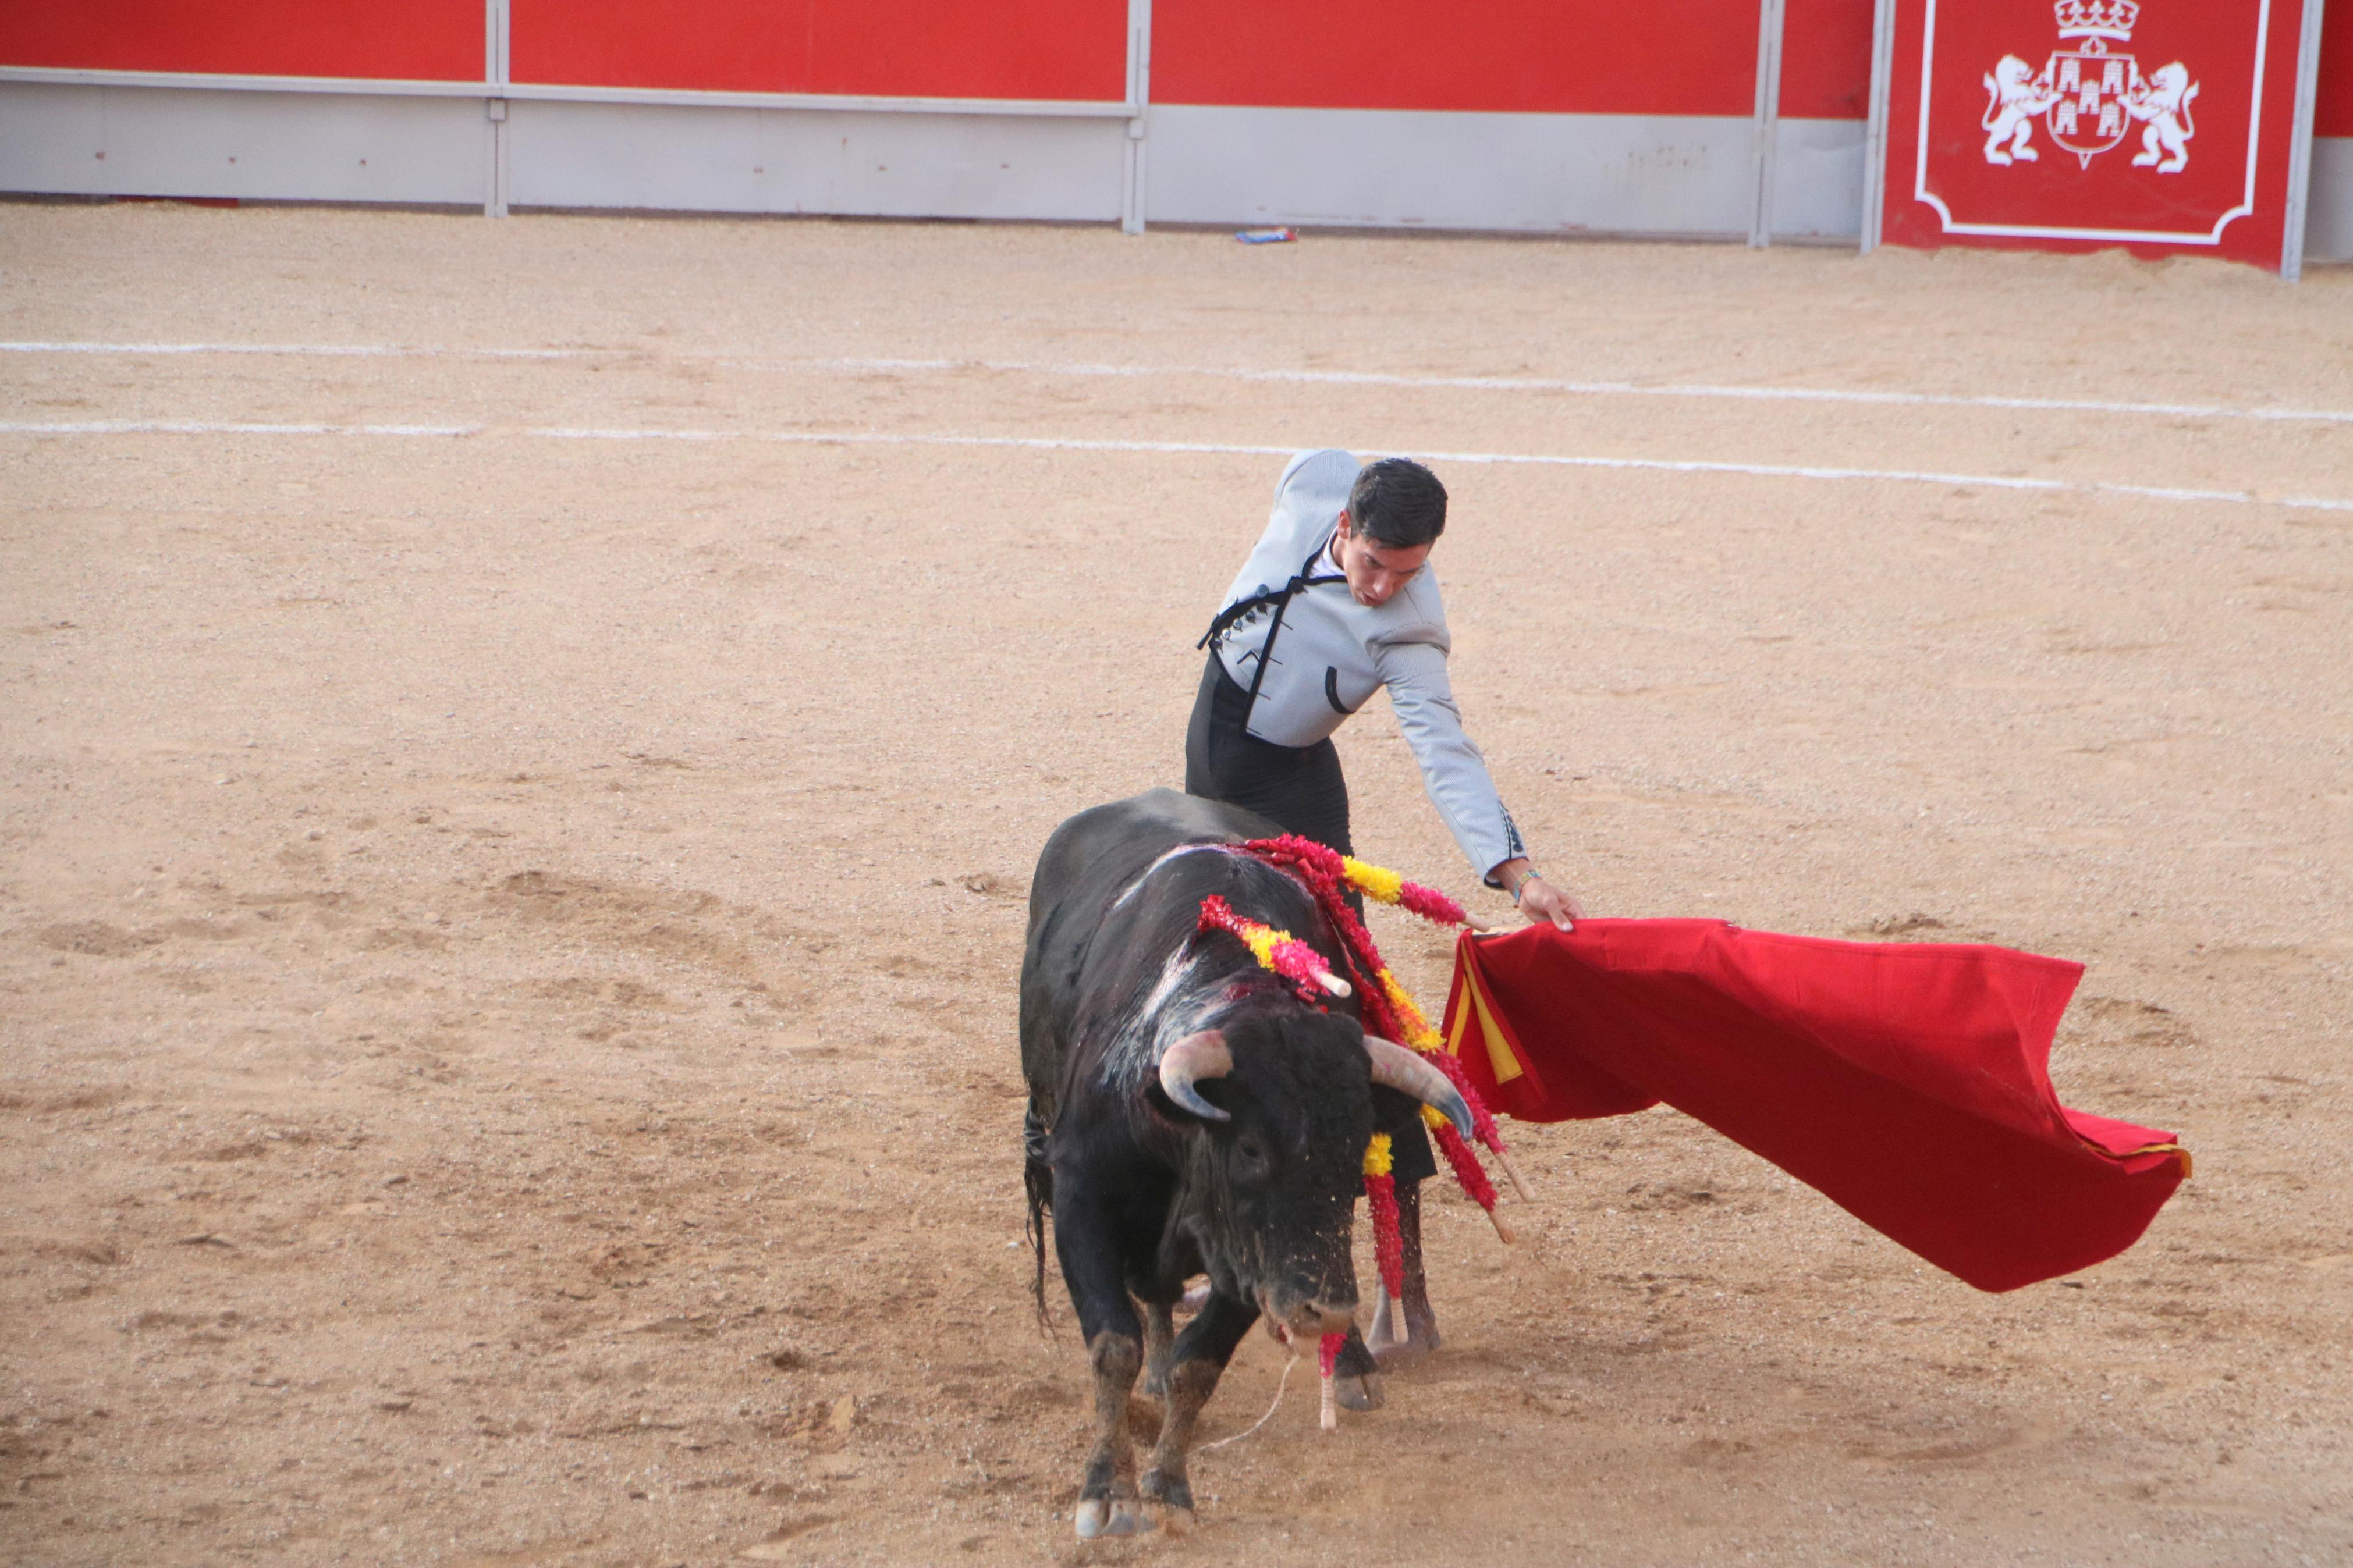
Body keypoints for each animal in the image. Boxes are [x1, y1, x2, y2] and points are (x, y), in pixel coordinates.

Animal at [1016, 790, 1458, 1542]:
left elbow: (1201, 1362)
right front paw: (1108, 1490)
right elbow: (1113, 1346)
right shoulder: (1081, 1198)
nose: (1324, 1308)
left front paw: (1168, 1486)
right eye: (1251, 1148)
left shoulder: (1250, 1252)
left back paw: (1348, 1361)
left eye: (1355, 1147)